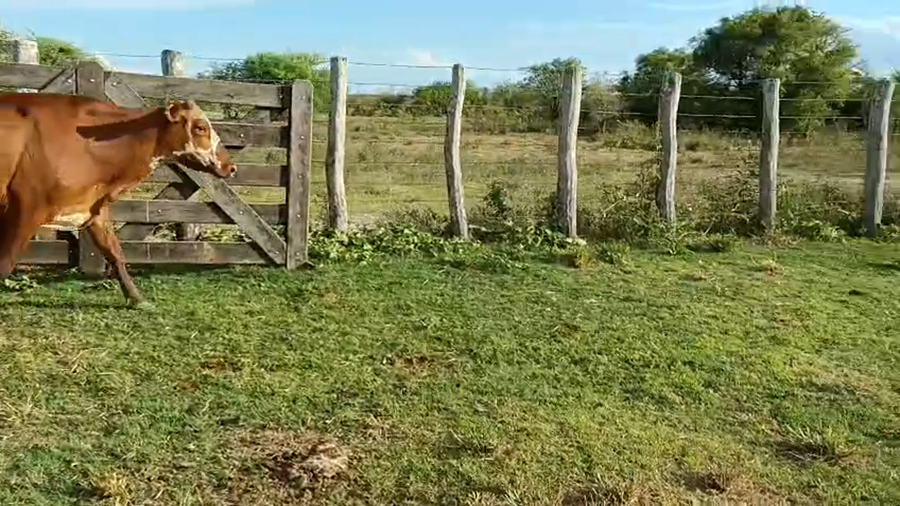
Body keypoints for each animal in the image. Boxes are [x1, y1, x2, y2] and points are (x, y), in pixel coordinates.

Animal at [0, 92, 236, 309]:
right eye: (201, 127)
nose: (231, 166)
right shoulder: (25, 209)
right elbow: (5, 263)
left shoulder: (93, 208)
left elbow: (114, 252)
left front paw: (137, 299)